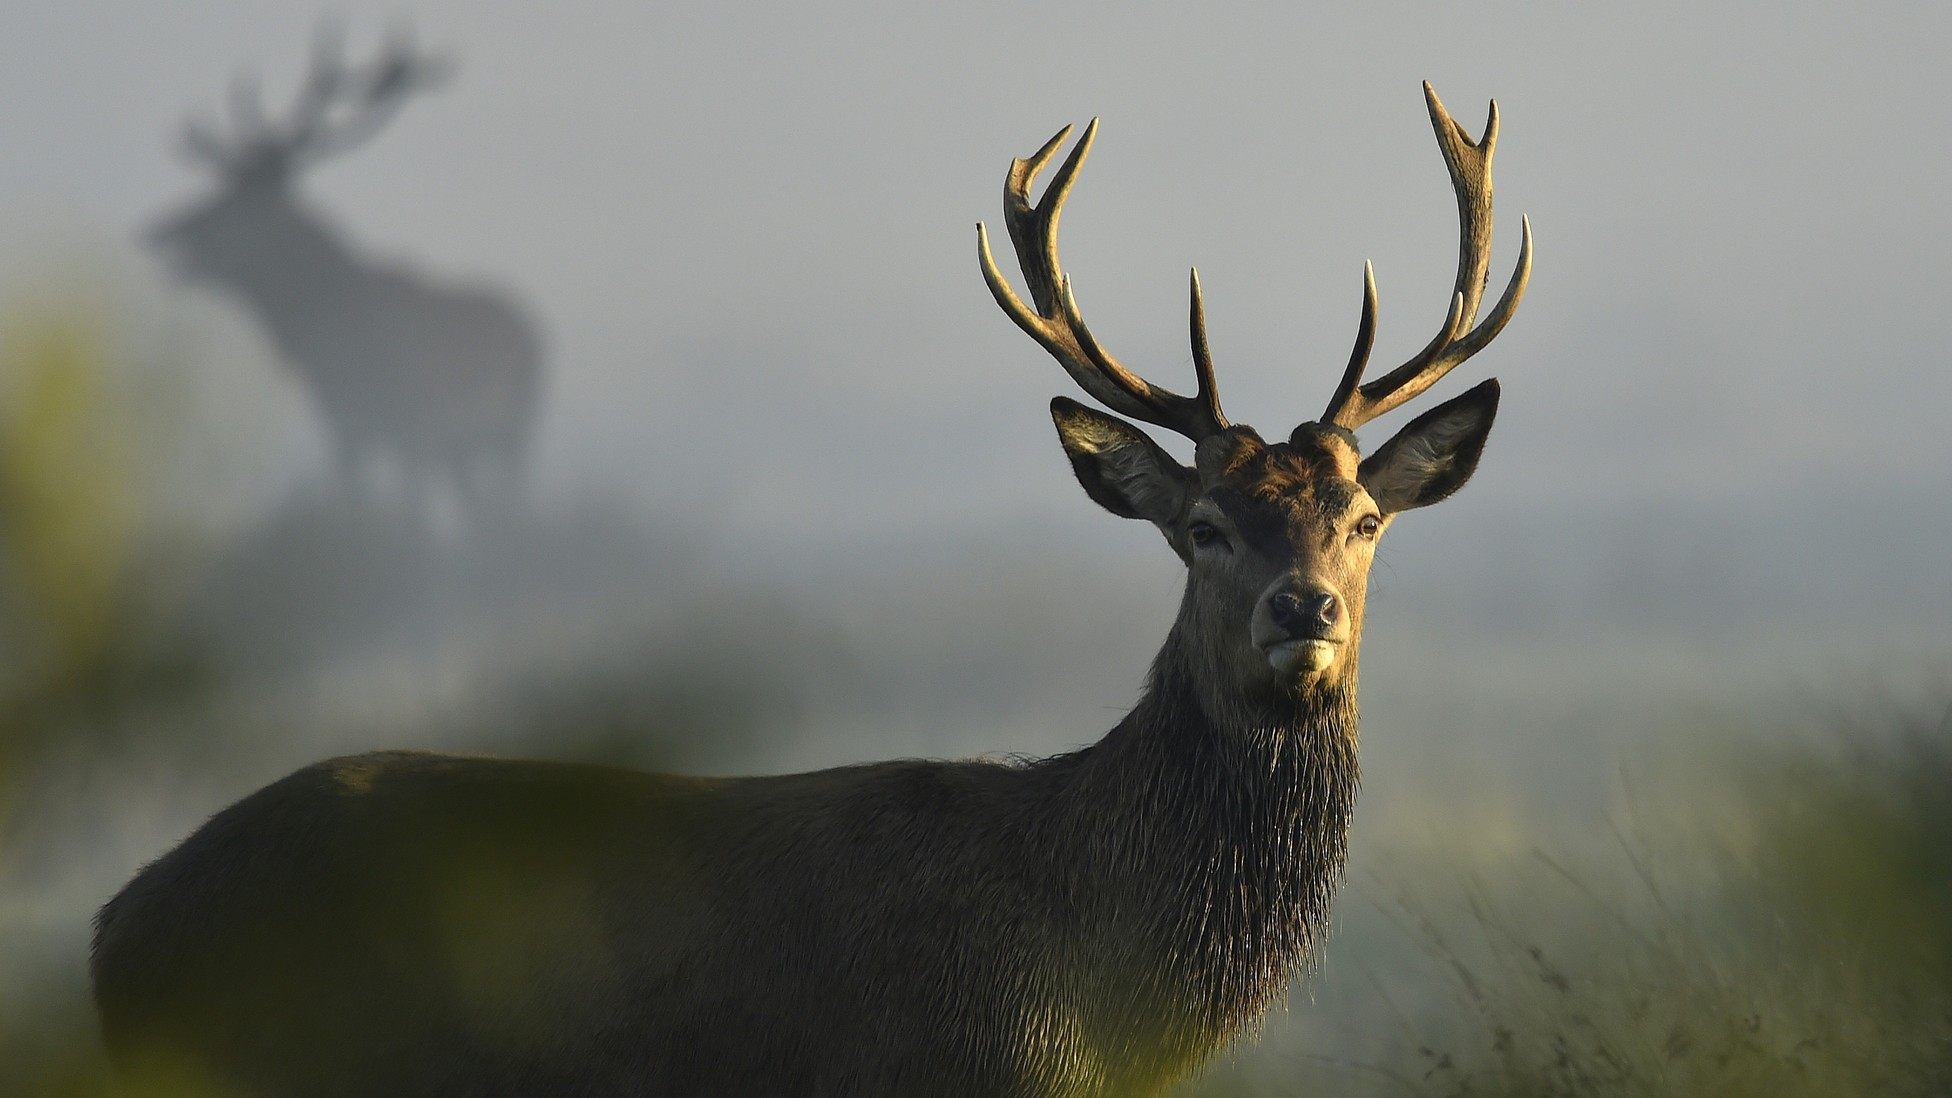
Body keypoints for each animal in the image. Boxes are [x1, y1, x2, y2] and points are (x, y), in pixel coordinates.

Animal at [148, 29, 541, 504]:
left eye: (237, 200)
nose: (157, 230)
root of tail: (536, 330)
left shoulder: (414, 430)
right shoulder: (345, 429)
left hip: (513, 433)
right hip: (465, 450)